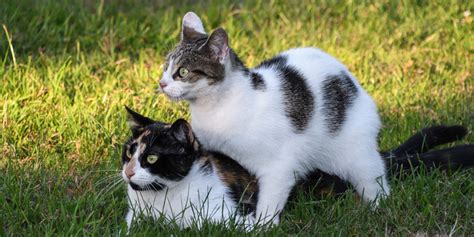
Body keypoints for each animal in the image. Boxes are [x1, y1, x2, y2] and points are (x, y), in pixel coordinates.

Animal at [121, 107, 474, 230]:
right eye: (128, 152)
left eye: (151, 159)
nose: (127, 173)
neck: (162, 203)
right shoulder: (133, 219)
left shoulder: (231, 216)